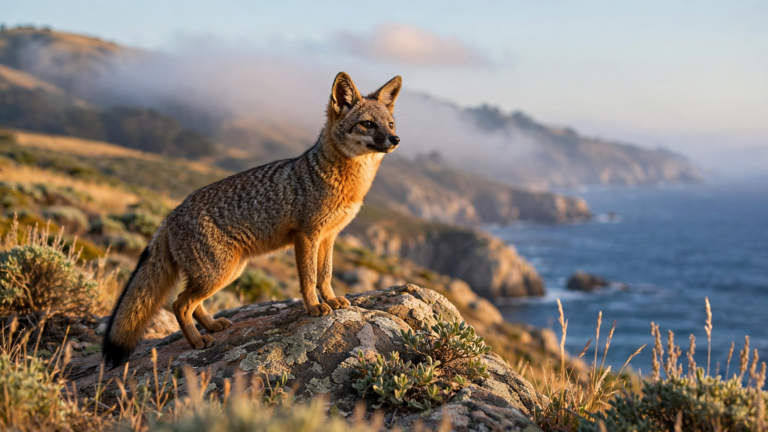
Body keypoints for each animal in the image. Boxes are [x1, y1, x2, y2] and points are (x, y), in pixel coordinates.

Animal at [102, 72, 402, 369]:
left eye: (390, 124)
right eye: (367, 124)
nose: (396, 139)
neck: (348, 182)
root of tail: (171, 214)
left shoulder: (329, 237)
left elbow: (325, 275)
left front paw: (330, 299)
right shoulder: (307, 235)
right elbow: (308, 278)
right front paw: (314, 307)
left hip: (228, 272)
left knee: (190, 303)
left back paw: (212, 326)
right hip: (218, 273)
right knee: (179, 304)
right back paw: (197, 342)